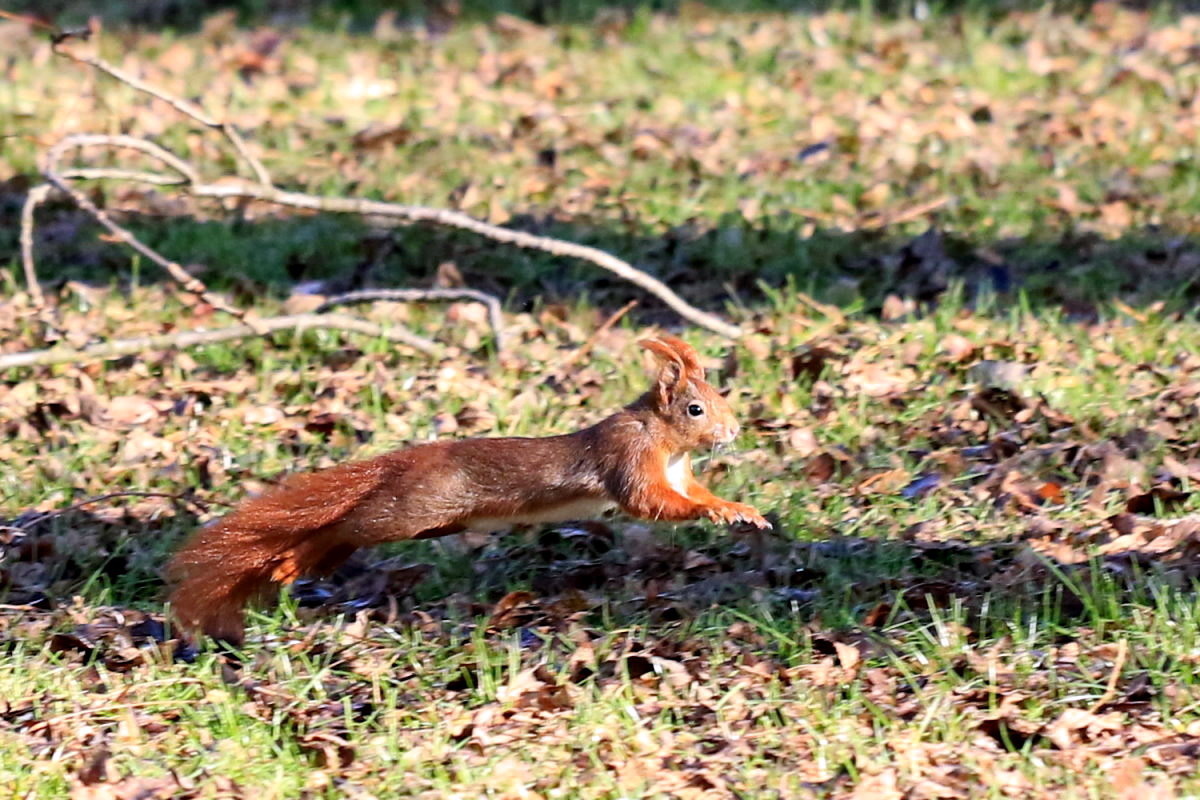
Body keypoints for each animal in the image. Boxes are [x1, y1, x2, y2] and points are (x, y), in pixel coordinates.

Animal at [169, 335, 768, 642]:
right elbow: (649, 503)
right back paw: (295, 559)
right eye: (696, 408)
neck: (665, 441)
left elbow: (693, 495)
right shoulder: (628, 457)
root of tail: (413, 458)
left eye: (720, 396)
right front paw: (718, 516)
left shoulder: (678, 472)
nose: (734, 431)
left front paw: (737, 509)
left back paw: (302, 562)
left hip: (432, 521)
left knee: (347, 531)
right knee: (349, 523)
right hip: (413, 508)